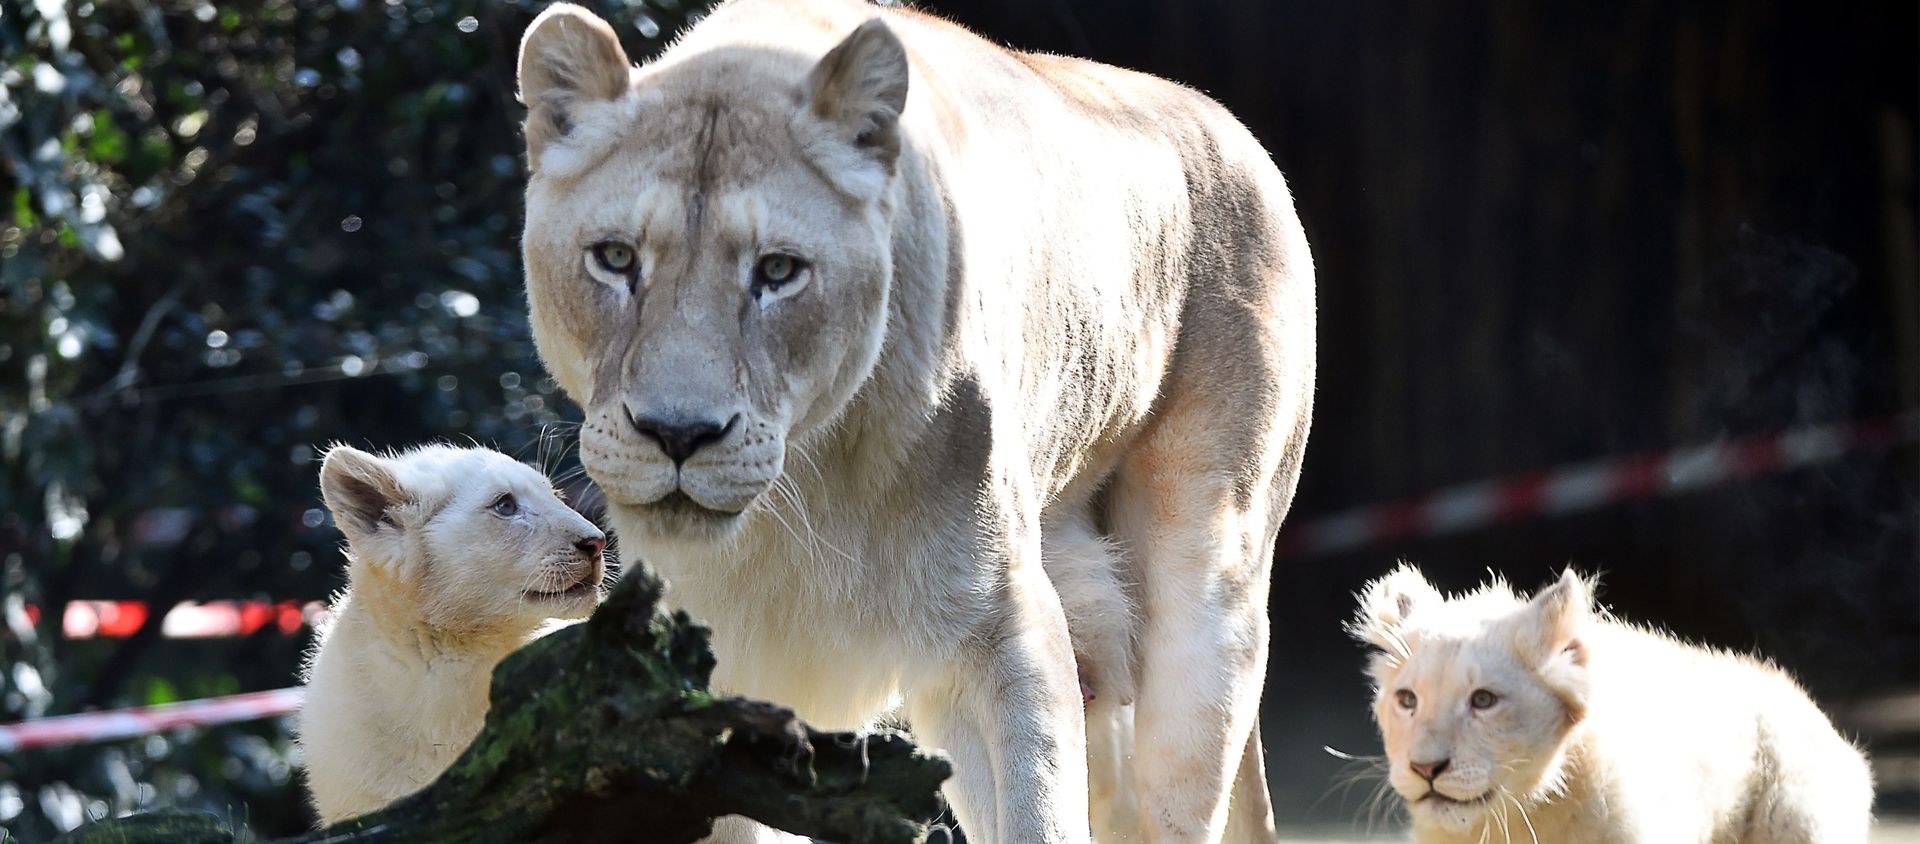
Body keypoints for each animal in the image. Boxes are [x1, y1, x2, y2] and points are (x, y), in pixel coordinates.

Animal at [513, 1, 1315, 841]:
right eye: (614, 258)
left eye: (778, 271)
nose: (677, 434)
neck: (798, 490)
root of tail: (1223, 119)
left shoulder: (1003, 623)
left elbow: (1037, 809)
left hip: (1206, 592)